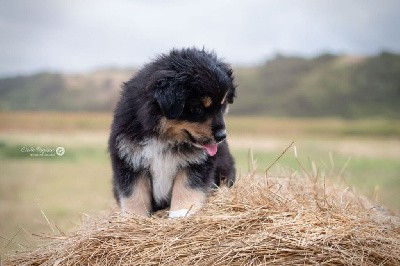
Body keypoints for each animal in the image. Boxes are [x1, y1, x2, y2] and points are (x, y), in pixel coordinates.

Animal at [108, 48, 236, 218]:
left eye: (222, 106)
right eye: (197, 108)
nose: (222, 136)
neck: (162, 136)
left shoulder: (196, 162)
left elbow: (187, 187)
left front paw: (181, 213)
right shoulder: (129, 159)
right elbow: (134, 194)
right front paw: (133, 217)